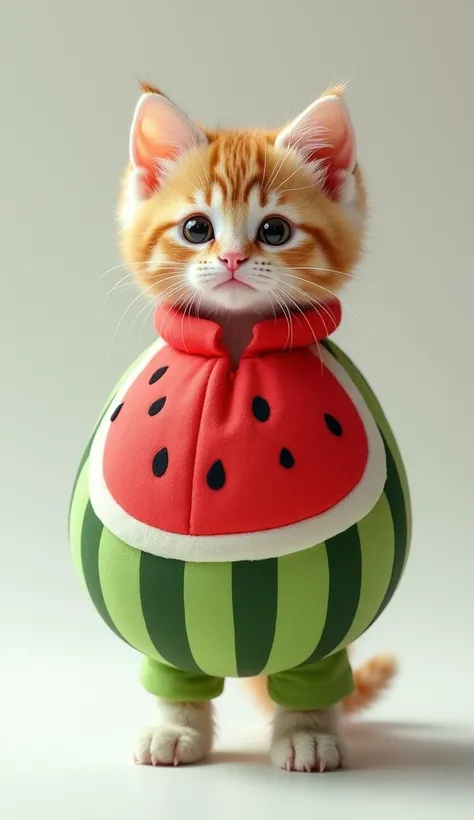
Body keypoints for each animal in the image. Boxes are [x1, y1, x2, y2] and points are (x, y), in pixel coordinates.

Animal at [116, 81, 394, 768]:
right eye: (197, 228)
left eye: (274, 229)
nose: (234, 259)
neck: (239, 342)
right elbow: (173, 673)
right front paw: (176, 728)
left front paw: (307, 734)